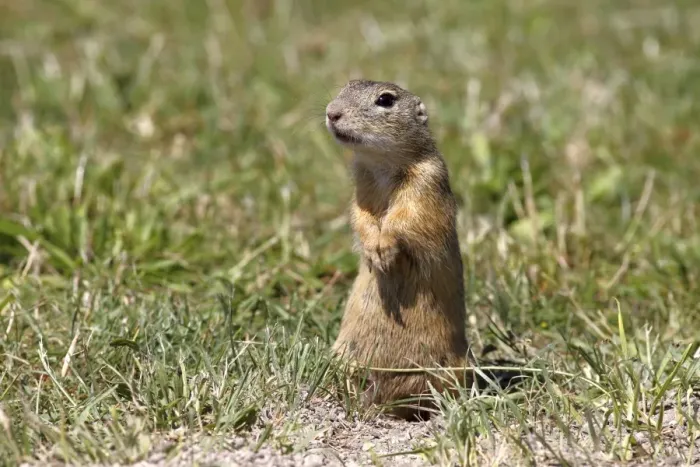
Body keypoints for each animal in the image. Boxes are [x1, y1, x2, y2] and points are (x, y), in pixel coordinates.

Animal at [325, 79, 472, 420]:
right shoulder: (361, 185)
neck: (381, 165)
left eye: (385, 100)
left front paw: (385, 250)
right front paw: (373, 250)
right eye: (346, 86)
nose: (331, 112)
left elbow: (406, 217)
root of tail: (384, 403)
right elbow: (361, 216)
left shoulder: (425, 181)